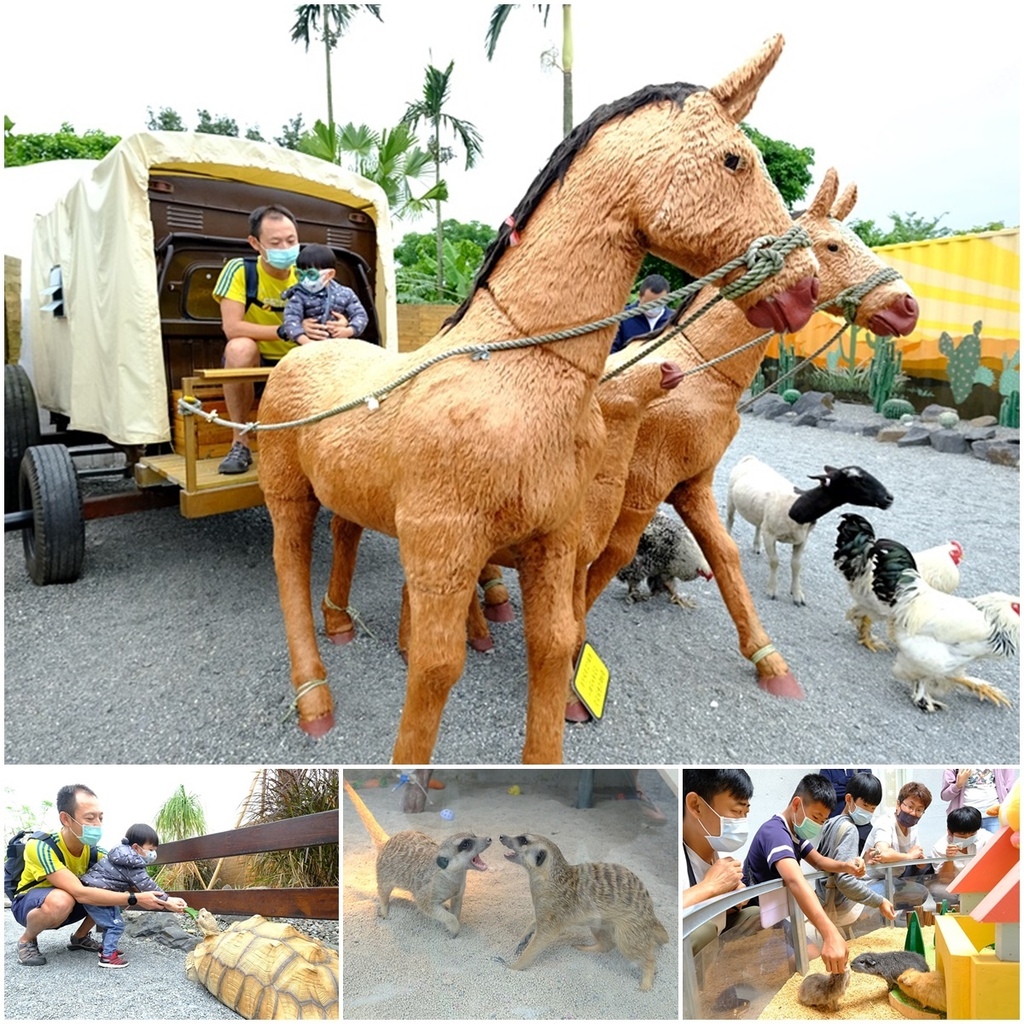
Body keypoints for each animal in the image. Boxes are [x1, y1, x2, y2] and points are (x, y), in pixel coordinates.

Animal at [724, 456, 892, 606]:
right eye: (856, 479)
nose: (889, 498)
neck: (797, 509)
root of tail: (751, 459)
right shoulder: (770, 534)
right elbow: (774, 561)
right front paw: (772, 591)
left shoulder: (802, 539)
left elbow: (796, 565)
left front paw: (797, 595)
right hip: (730, 498)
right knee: (730, 520)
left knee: (758, 525)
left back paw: (756, 546)